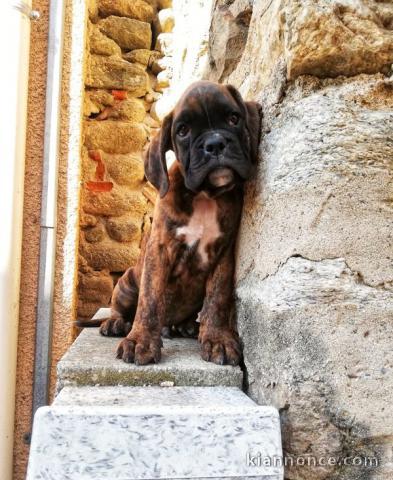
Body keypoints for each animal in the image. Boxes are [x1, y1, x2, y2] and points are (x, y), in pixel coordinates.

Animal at [99, 80, 262, 366]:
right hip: (127, 282)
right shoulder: (159, 250)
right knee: (122, 307)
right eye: (183, 131)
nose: (214, 143)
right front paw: (140, 340)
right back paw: (115, 323)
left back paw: (185, 327)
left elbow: (217, 298)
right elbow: (150, 300)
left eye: (234, 118)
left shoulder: (223, 255)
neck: (205, 195)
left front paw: (217, 339)